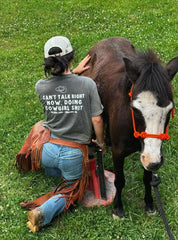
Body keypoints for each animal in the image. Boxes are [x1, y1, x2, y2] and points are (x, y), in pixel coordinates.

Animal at [83, 37, 178, 218]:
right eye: (135, 109)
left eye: (170, 110)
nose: (154, 163)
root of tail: (107, 40)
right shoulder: (118, 153)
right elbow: (119, 180)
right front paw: (118, 208)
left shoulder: (147, 153)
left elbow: (147, 179)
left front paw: (150, 204)